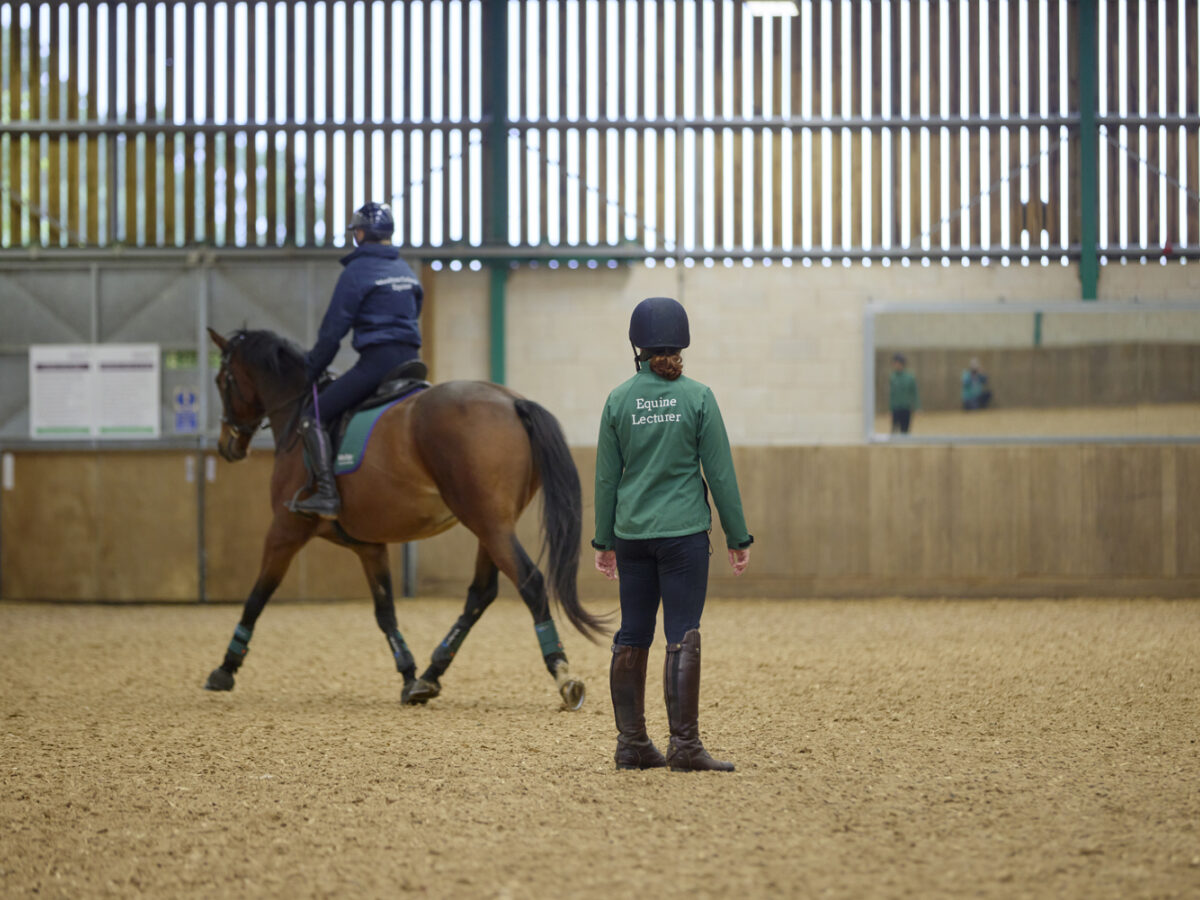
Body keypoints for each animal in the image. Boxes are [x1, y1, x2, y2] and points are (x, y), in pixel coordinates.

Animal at [204, 328, 609, 710]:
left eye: (222, 380)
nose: (227, 445)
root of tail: (511, 401)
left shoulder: (285, 530)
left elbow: (257, 597)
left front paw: (225, 669)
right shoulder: (370, 547)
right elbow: (385, 612)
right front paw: (408, 673)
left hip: (489, 525)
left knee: (530, 582)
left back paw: (562, 674)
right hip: (491, 527)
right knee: (480, 594)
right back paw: (429, 676)